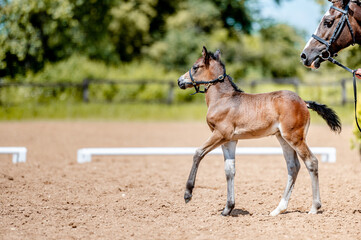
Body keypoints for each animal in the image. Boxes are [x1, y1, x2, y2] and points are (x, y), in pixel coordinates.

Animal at [177, 46, 340, 216]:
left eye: (195, 67)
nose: (180, 81)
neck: (223, 98)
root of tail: (303, 101)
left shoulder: (220, 134)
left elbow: (198, 153)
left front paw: (188, 194)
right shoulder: (229, 140)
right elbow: (229, 170)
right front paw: (228, 208)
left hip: (295, 137)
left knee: (311, 162)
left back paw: (314, 207)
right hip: (283, 138)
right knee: (293, 166)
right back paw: (278, 209)